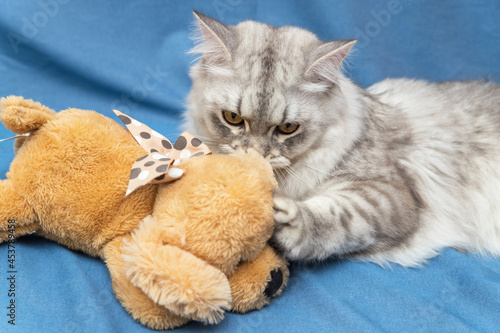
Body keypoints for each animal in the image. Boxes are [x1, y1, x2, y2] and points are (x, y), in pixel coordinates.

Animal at [184, 11, 500, 264]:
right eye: (233, 118)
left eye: (288, 128)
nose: (256, 156)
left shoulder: (388, 195)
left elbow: (338, 218)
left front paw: (288, 222)